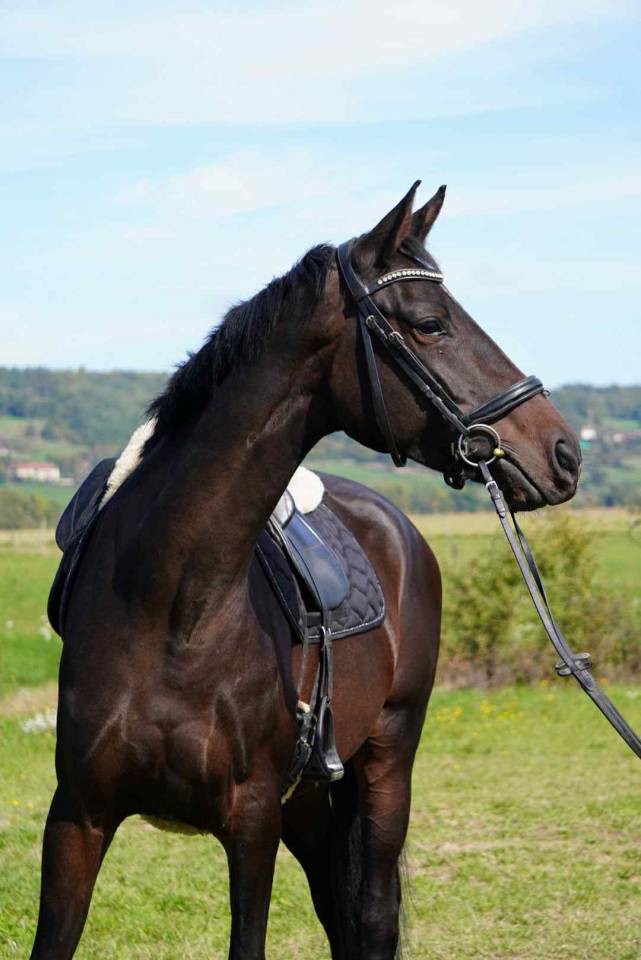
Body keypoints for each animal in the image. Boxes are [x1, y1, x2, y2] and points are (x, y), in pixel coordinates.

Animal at [30, 182, 580, 959]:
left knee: (371, 917)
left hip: (386, 762)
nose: (563, 452)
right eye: (430, 324)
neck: (170, 609)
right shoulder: (77, 817)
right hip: (313, 803)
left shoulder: (252, 820)